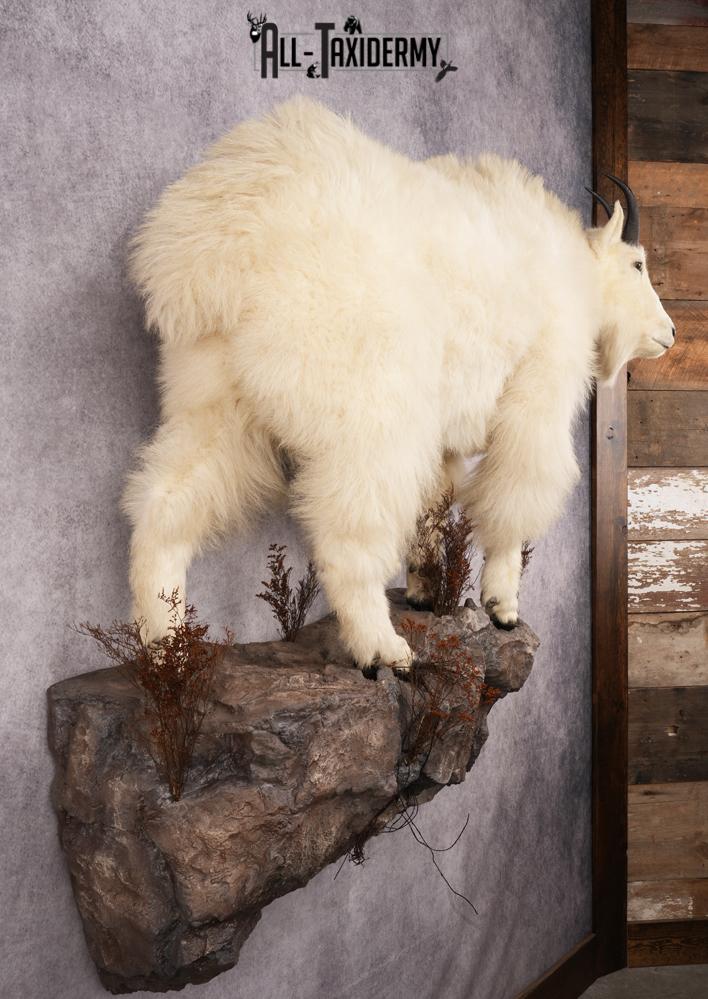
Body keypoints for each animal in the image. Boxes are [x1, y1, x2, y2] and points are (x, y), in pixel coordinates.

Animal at [125, 97, 674, 675]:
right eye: (638, 264)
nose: (670, 333)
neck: (578, 275)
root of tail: (219, 250)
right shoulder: (538, 396)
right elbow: (514, 501)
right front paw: (502, 605)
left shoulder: (446, 438)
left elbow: (436, 503)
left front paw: (425, 591)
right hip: (371, 415)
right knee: (348, 536)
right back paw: (382, 649)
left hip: (217, 402)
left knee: (164, 507)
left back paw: (164, 649)